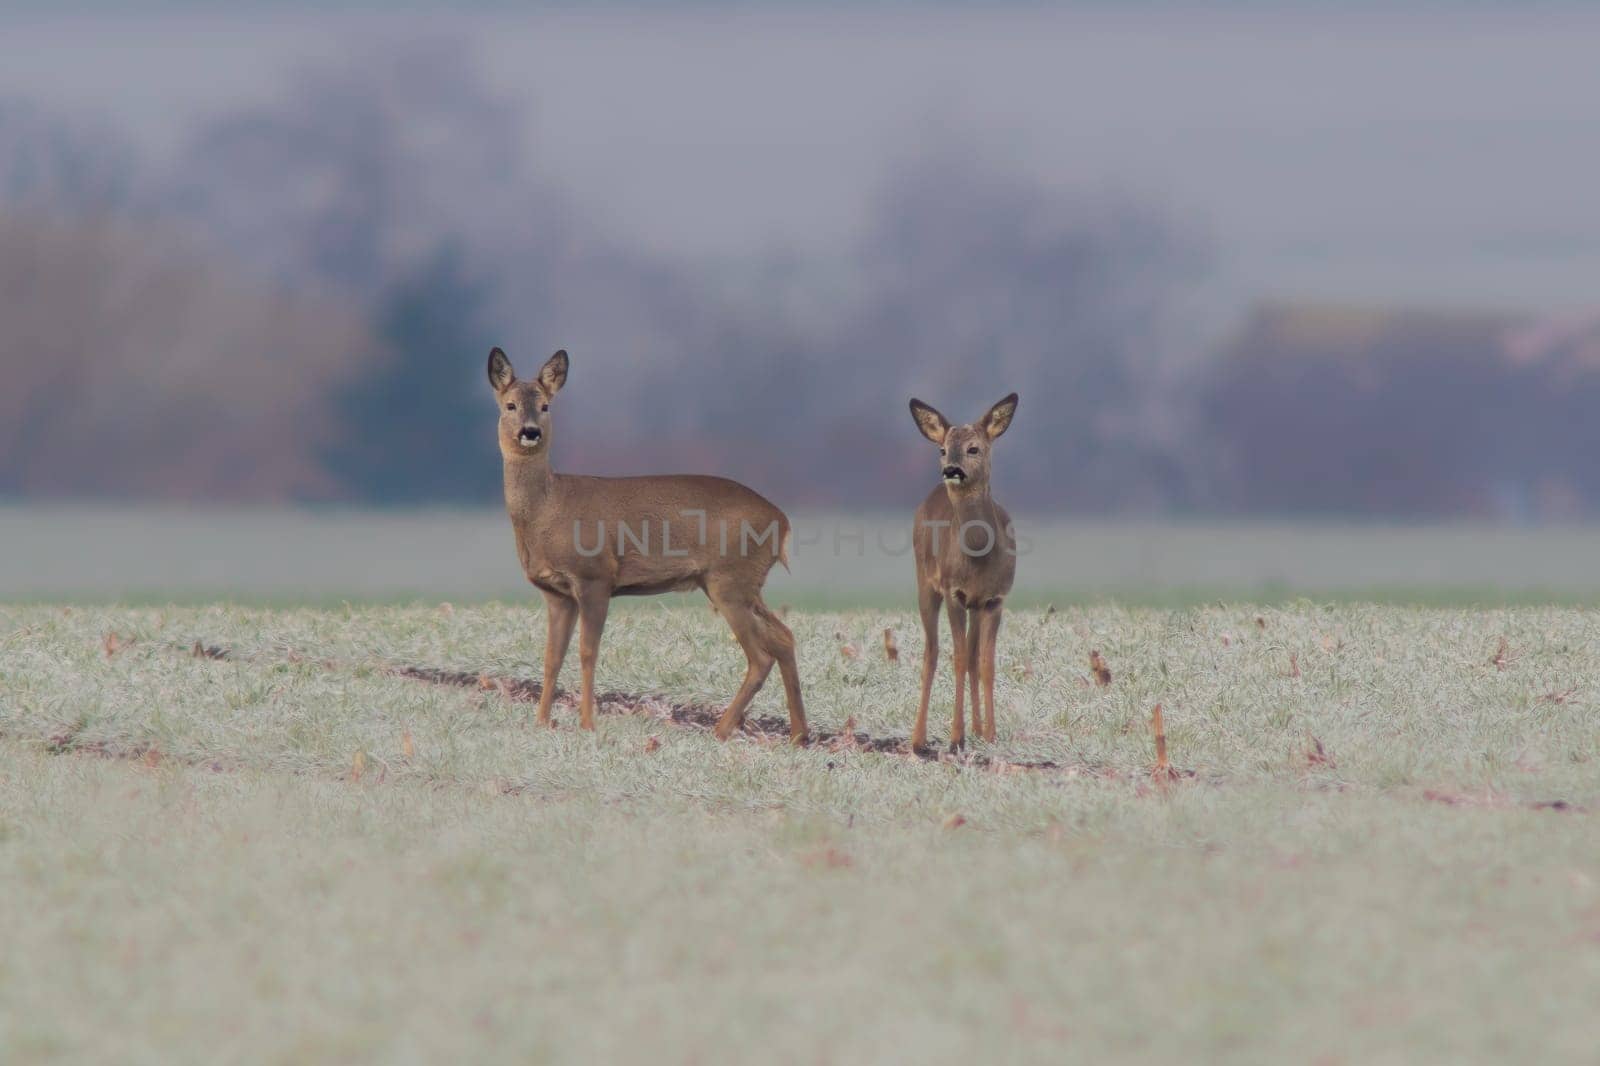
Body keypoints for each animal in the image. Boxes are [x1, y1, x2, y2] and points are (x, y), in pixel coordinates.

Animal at [483, 347, 812, 739]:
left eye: (546, 405)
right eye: (510, 405)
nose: (530, 432)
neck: (547, 509)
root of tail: (782, 520)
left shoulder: (595, 577)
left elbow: (587, 653)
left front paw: (588, 723)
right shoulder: (557, 594)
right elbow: (551, 658)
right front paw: (542, 722)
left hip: (730, 580)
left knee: (761, 655)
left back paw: (721, 730)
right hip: (740, 582)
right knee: (784, 637)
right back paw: (798, 734)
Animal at [908, 388, 1017, 745]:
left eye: (974, 448)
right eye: (942, 449)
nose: (951, 470)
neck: (979, 556)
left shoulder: (995, 598)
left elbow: (984, 663)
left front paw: (991, 734)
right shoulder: (953, 591)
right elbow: (955, 659)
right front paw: (956, 736)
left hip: (975, 606)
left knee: (970, 656)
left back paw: (978, 728)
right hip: (925, 583)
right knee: (931, 652)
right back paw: (918, 737)